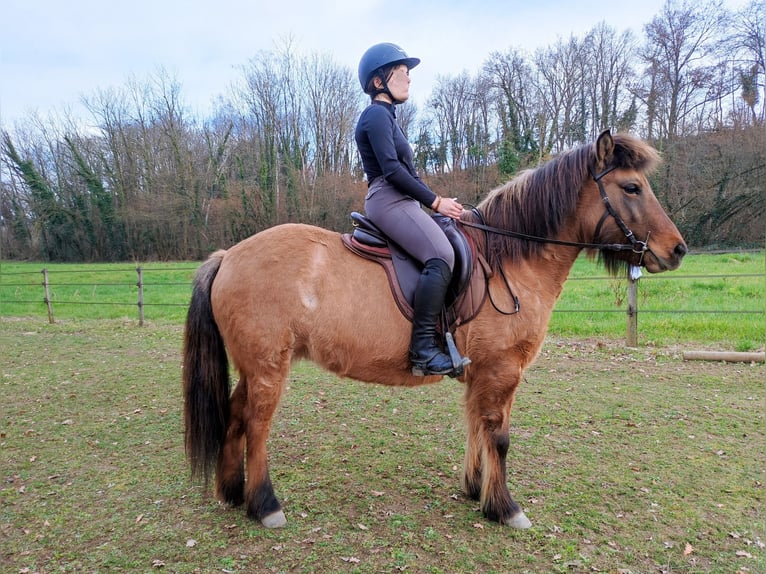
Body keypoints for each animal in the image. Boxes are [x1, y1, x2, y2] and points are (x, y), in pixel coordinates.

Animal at [182, 130, 687, 529]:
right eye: (632, 187)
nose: (677, 249)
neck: (509, 260)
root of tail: (228, 255)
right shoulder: (503, 370)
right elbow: (499, 437)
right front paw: (505, 508)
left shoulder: (483, 374)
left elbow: (477, 427)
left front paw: (476, 489)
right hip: (269, 367)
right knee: (256, 425)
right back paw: (265, 504)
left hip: (253, 368)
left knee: (235, 416)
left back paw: (232, 493)